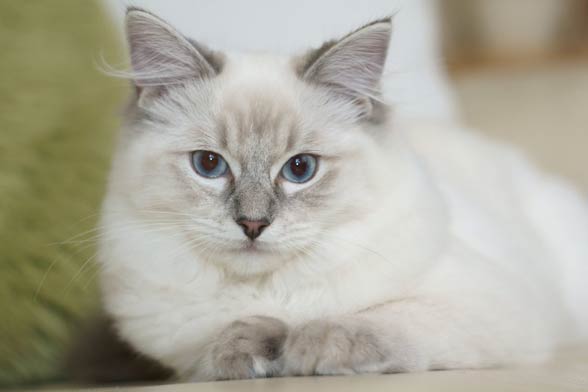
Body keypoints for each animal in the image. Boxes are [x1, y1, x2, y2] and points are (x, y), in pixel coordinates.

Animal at [97, 5, 588, 380]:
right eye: (209, 165)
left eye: (300, 169)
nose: (253, 224)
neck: (270, 292)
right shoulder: (182, 357)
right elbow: (224, 344)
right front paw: (253, 350)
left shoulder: (482, 302)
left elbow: (371, 319)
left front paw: (307, 347)